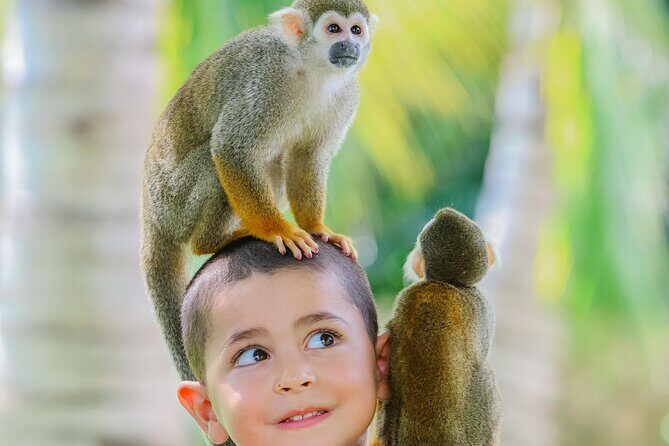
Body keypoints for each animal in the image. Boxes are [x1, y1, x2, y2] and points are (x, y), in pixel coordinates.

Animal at [139, 0, 378, 381]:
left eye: (356, 30)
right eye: (333, 29)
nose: (350, 46)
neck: (311, 70)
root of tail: (150, 214)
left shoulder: (347, 95)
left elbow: (307, 157)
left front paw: (317, 228)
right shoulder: (265, 83)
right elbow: (231, 149)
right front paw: (277, 230)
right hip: (173, 201)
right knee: (215, 163)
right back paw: (213, 240)